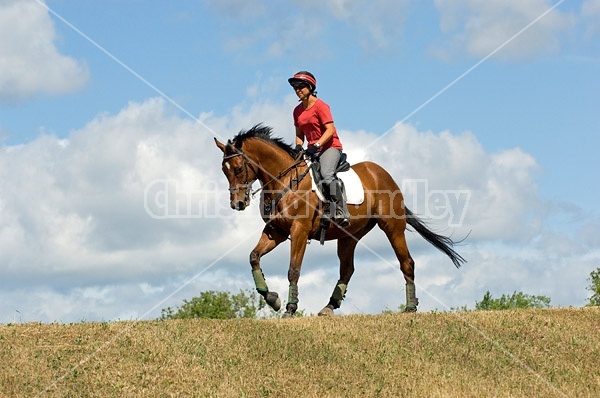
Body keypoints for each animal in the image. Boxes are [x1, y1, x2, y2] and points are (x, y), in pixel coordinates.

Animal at [213, 124, 466, 318]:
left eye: (238, 169)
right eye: (224, 171)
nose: (237, 204)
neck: (284, 180)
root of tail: (383, 173)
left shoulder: (299, 231)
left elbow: (293, 270)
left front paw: (290, 308)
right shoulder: (276, 231)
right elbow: (254, 257)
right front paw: (272, 298)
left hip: (392, 227)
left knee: (407, 262)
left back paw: (411, 307)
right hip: (349, 236)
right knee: (347, 269)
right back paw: (329, 306)